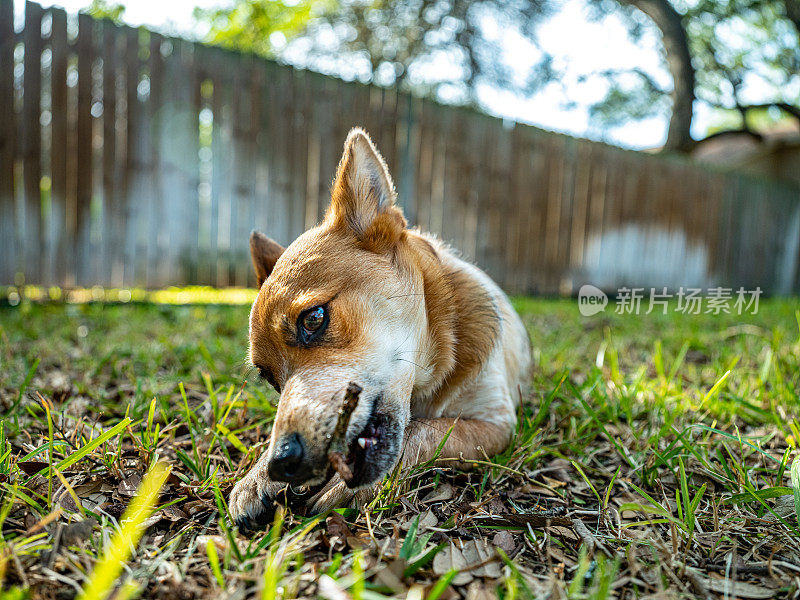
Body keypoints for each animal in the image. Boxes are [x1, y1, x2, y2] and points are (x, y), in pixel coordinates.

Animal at [230, 126, 532, 528]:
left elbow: (423, 430)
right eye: (268, 379)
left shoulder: (495, 424)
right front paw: (255, 475)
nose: (282, 463)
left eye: (313, 319)